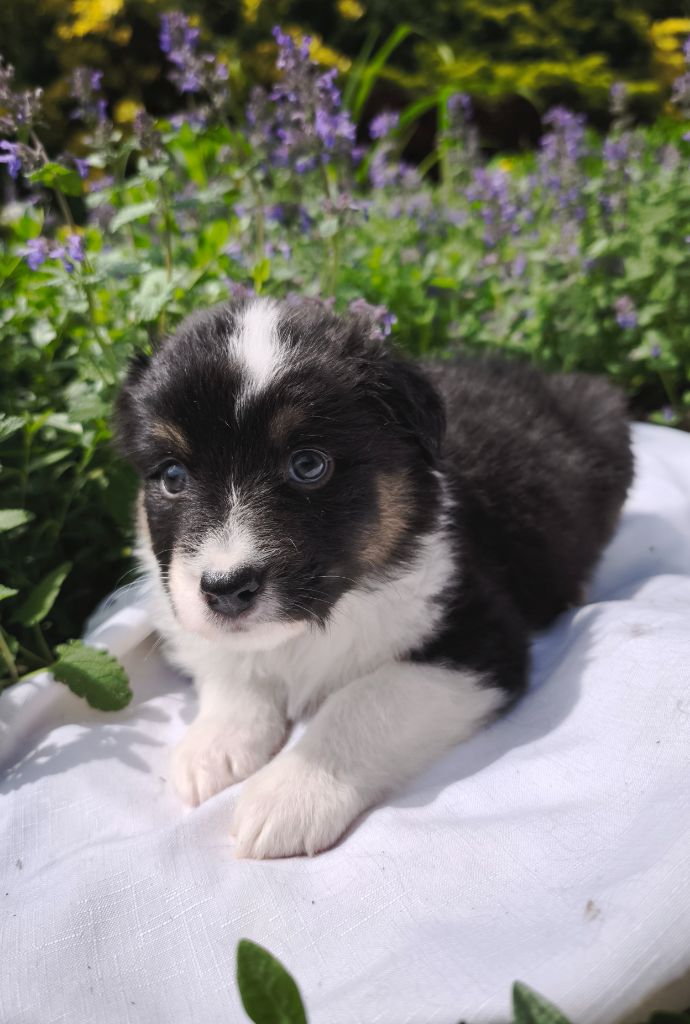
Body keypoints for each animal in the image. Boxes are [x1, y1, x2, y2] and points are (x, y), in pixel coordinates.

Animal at [115, 297, 633, 859]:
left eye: (308, 465)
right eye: (172, 476)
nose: (227, 589)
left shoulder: (478, 635)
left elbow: (366, 699)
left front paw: (287, 796)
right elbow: (233, 666)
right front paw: (214, 746)